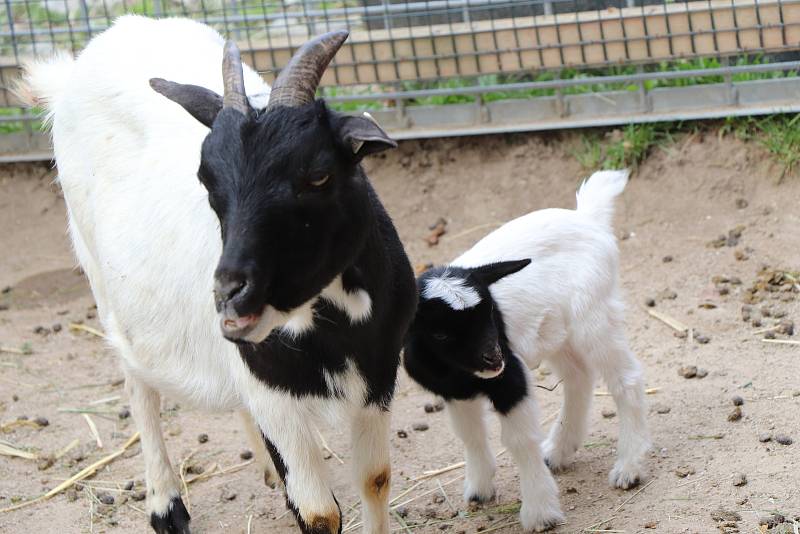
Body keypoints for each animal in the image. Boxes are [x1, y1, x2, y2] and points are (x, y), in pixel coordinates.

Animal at [21, 14, 416, 532]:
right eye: (208, 181)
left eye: (319, 175)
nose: (231, 296)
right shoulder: (274, 394)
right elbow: (319, 512)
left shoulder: (377, 377)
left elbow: (375, 479)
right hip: (100, 280)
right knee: (137, 384)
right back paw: (165, 504)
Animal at [406, 171, 648, 532]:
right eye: (441, 333)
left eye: (490, 312)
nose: (494, 357)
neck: (457, 372)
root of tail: (587, 217)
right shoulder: (454, 391)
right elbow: (469, 435)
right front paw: (479, 489)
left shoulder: (510, 380)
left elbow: (518, 441)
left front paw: (539, 513)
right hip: (552, 329)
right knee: (578, 377)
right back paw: (559, 450)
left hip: (592, 313)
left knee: (625, 379)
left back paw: (628, 468)